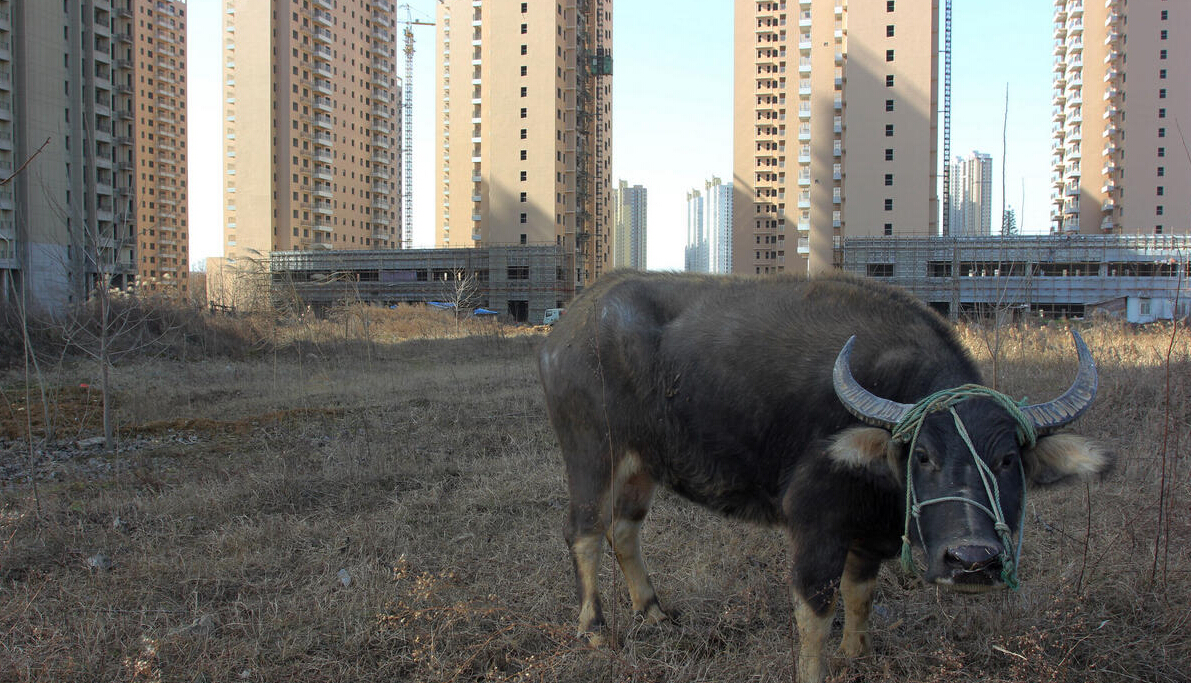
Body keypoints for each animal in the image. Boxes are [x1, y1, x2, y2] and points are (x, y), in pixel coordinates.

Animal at [538, 270, 1105, 681]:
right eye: (923, 455)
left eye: (1008, 460)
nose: (972, 561)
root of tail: (571, 323)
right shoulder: (817, 524)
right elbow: (815, 610)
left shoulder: (867, 533)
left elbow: (860, 594)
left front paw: (858, 652)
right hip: (591, 451)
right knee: (584, 531)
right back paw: (594, 627)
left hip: (643, 462)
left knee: (625, 529)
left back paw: (653, 610)